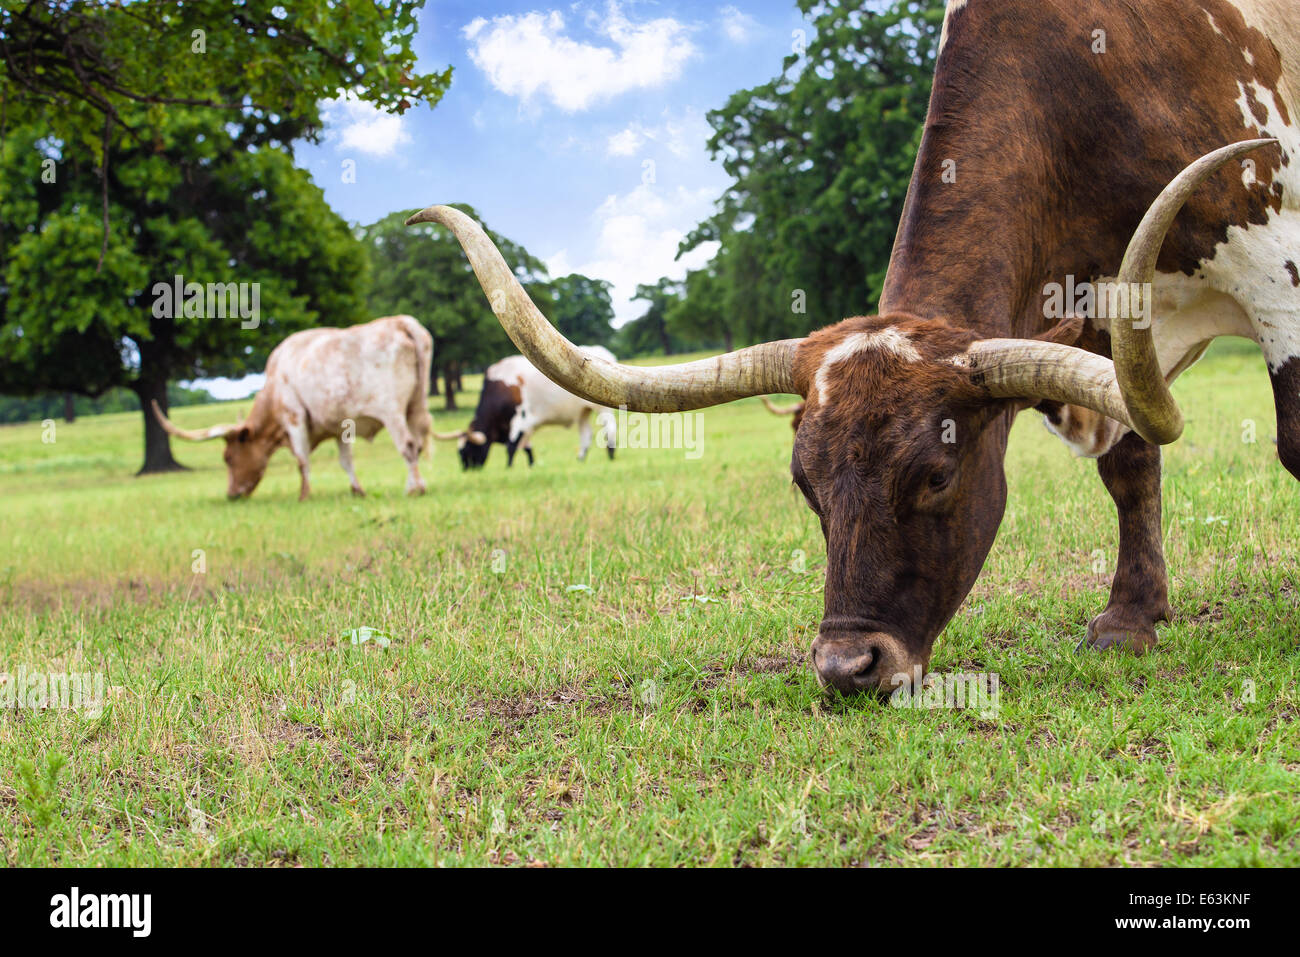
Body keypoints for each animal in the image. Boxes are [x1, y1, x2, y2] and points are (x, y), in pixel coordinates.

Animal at [152, 315, 434, 500]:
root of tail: (401, 322)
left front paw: (304, 495)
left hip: (391, 410)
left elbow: (301, 459)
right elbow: (346, 461)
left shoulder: (294, 416)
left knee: (408, 446)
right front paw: (357, 490)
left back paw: (414, 488)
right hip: (416, 404)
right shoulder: (338, 424)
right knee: (419, 443)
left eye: (228, 458)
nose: (231, 494)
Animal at [433, 348, 619, 469]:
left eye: (466, 449)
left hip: (601, 408)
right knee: (586, 434)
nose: (466, 469)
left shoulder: (520, 418)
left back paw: (611, 455)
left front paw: (509, 468)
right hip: (583, 411)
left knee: (609, 429)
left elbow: (512, 446)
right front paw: (531, 464)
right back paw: (580, 458)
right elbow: (526, 446)